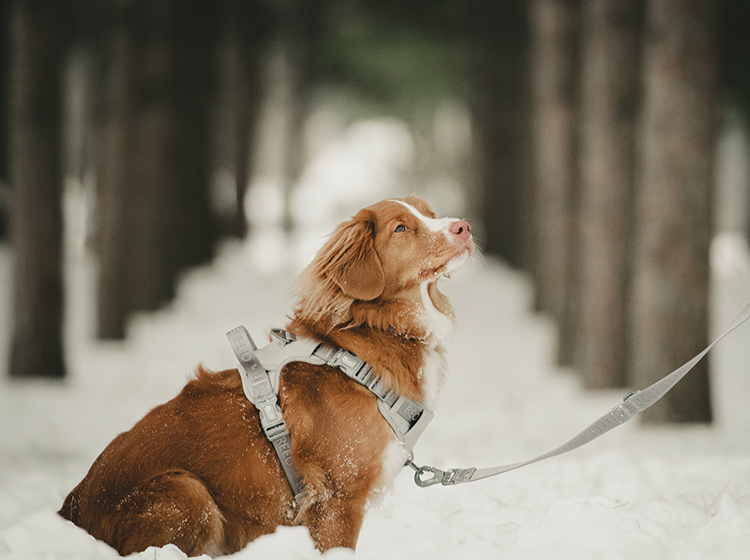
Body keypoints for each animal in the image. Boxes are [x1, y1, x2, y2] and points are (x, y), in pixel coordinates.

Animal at [58, 197, 472, 556]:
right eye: (401, 227)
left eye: (429, 213)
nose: (464, 227)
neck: (372, 334)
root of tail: (72, 506)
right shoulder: (337, 501)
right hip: (188, 491)